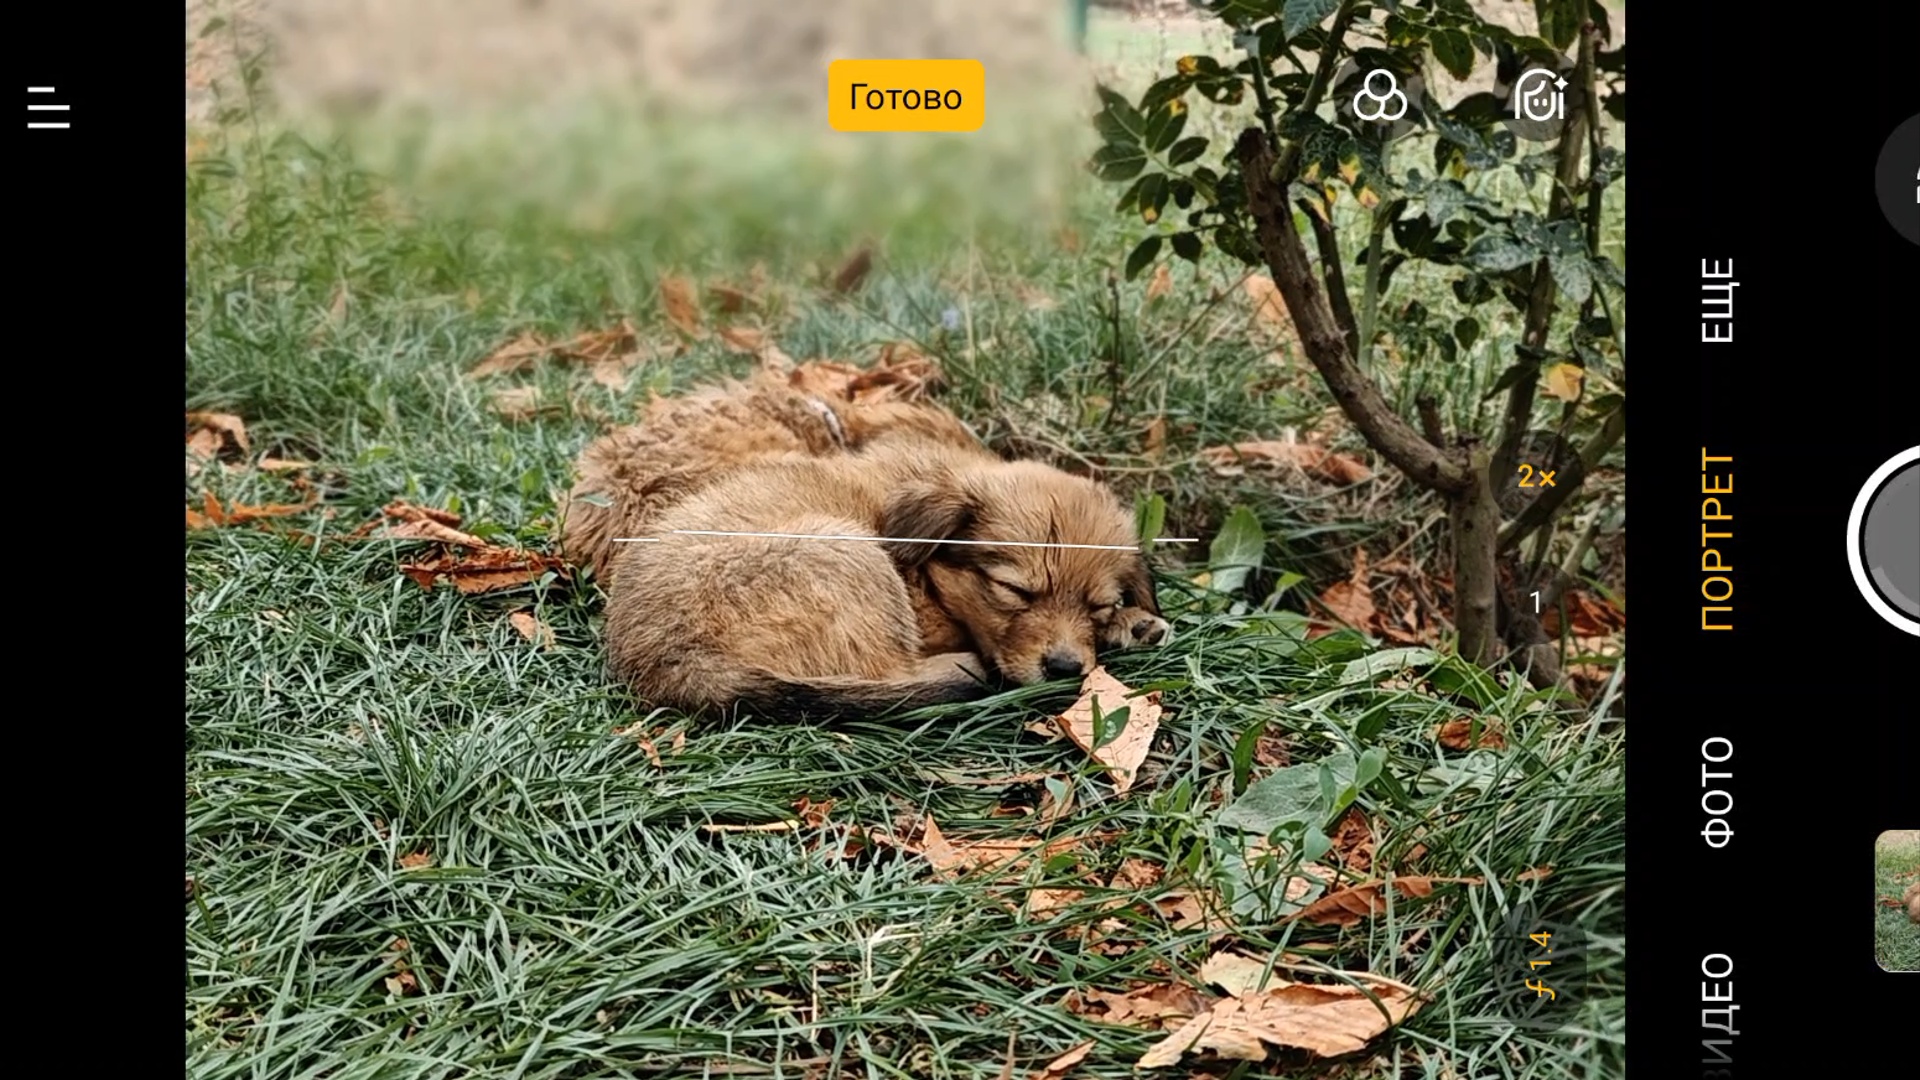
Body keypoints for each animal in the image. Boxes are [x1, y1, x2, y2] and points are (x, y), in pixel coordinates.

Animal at [601, 437, 1169, 719]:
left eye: (1097, 605)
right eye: (1014, 591)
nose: (1065, 669)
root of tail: (669, 660)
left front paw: (1131, 622)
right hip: (845, 552)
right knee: (888, 672)